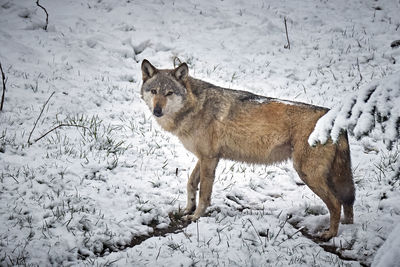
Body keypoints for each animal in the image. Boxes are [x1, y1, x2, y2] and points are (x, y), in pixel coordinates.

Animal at [139, 59, 354, 241]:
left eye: (169, 93)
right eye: (154, 91)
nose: (157, 110)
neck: (195, 107)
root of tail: (335, 118)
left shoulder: (209, 158)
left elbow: (204, 194)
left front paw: (196, 216)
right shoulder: (206, 157)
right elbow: (191, 183)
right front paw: (187, 209)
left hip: (308, 174)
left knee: (336, 203)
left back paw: (330, 235)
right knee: (348, 202)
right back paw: (347, 229)